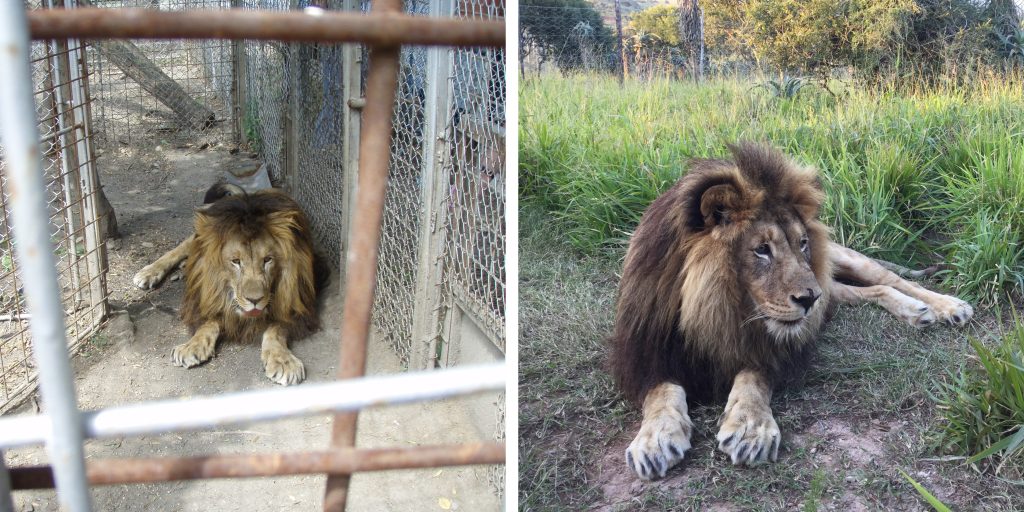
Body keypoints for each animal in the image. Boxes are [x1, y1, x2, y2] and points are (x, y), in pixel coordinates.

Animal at [132, 183, 323, 385]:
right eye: (236, 261)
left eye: (267, 260)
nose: (254, 300)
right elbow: (209, 321)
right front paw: (193, 345)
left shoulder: (299, 304)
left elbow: (276, 328)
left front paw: (283, 361)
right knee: (185, 245)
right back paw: (149, 272)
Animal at [610, 141, 970, 479]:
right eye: (761, 250)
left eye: (802, 243)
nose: (809, 299)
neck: (720, 310)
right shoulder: (647, 351)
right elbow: (660, 392)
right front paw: (655, 439)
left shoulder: (772, 346)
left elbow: (754, 378)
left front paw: (750, 428)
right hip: (832, 290)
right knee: (875, 290)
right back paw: (915, 311)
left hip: (839, 267)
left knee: (889, 278)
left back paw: (945, 306)